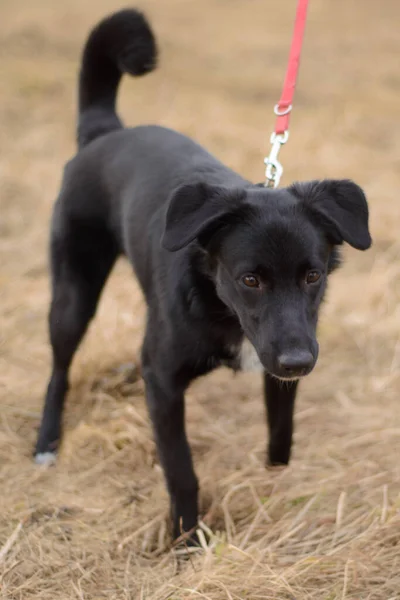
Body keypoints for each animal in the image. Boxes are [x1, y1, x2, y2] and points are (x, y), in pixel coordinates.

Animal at [34, 8, 372, 540]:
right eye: (250, 279)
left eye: (313, 276)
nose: (299, 362)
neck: (218, 303)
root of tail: (105, 131)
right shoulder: (162, 381)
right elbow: (181, 469)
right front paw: (187, 539)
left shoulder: (280, 362)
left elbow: (281, 434)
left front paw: (276, 481)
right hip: (73, 291)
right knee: (59, 369)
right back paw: (47, 442)